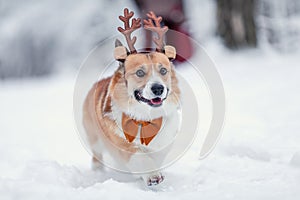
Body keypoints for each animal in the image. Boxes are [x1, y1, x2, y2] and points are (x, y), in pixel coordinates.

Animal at [82, 8, 180, 187]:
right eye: (140, 72)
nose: (158, 88)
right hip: (94, 139)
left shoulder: (164, 142)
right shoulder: (123, 145)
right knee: (97, 156)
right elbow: (140, 157)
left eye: (163, 70)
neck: (145, 119)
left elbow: (157, 156)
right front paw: (153, 176)